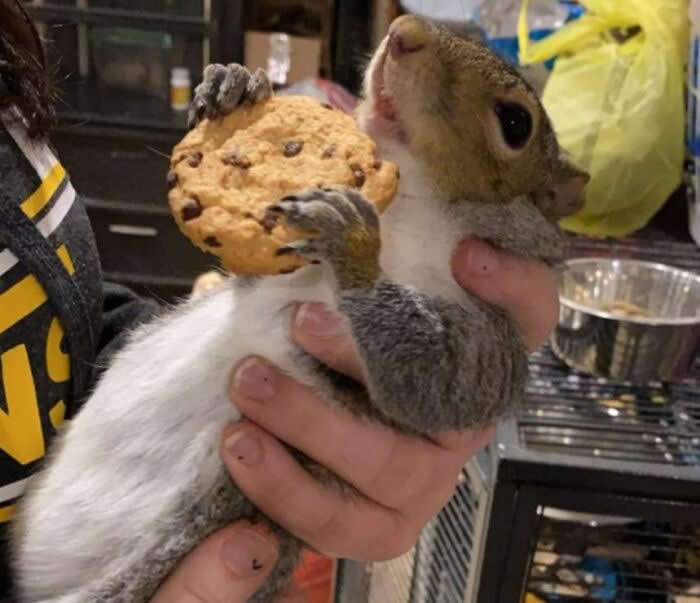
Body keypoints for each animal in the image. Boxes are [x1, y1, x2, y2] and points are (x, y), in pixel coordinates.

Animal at [13, 15, 588, 603]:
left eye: (515, 122)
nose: (404, 30)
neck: (408, 206)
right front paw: (234, 85)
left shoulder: (490, 334)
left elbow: (442, 383)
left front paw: (354, 241)